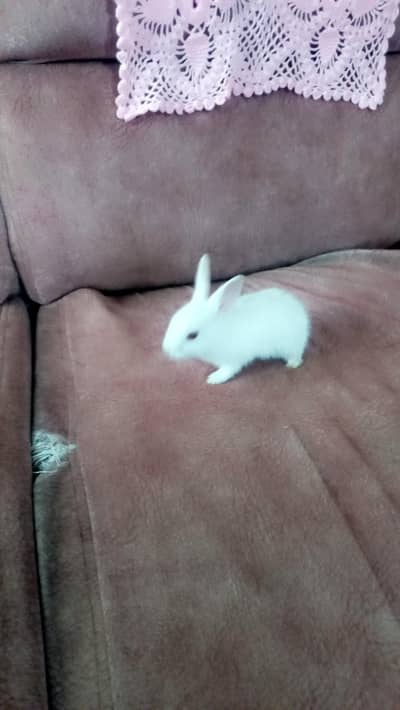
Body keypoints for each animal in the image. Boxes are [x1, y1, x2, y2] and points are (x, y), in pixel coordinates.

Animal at [162, 254, 311, 384]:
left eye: (193, 335)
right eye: (172, 321)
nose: (167, 350)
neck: (217, 334)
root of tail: (299, 310)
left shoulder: (233, 359)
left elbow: (228, 371)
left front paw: (214, 379)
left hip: (291, 344)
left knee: (296, 354)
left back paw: (292, 364)